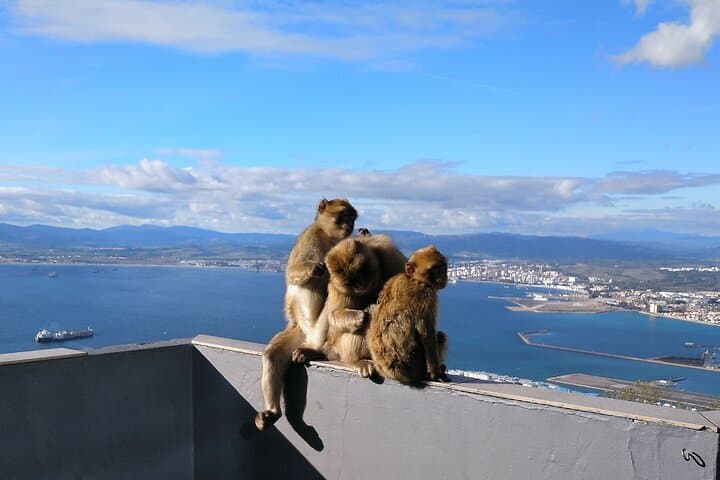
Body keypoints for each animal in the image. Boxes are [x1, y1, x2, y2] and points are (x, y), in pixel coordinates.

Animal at [255, 198, 357, 431]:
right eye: (343, 215)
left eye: (352, 217)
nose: (350, 225)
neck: (329, 237)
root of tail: (308, 336)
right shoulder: (310, 237)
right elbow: (293, 271)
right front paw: (317, 267)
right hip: (298, 332)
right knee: (272, 355)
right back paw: (273, 411)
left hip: (316, 331)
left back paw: (314, 351)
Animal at [320, 231, 407, 378]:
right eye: (351, 282)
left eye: (360, 270)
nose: (360, 285)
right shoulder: (337, 287)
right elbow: (333, 316)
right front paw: (358, 317)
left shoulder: (391, 256)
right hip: (339, 346)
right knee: (361, 326)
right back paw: (357, 360)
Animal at [366, 245, 451, 384]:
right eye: (434, 269)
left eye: (443, 267)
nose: (444, 276)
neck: (413, 278)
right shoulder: (425, 295)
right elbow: (427, 335)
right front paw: (436, 373)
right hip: (415, 364)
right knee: (440, 336)